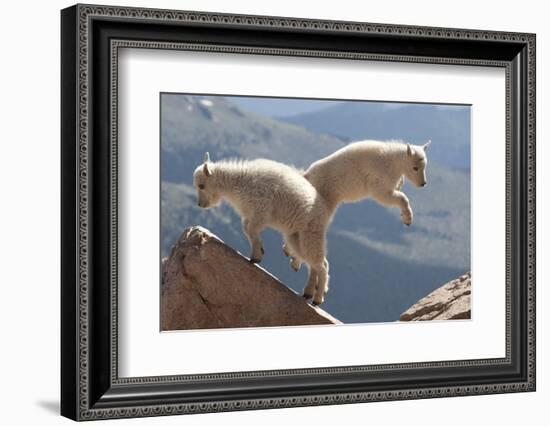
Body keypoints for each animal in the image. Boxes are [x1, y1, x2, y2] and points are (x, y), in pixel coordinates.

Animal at [192, 153, 334, 306]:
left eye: (201, 185)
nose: (200, 204)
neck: (238, 183)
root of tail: (325, 212)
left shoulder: (261, 211)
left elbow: (250, 228)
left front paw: (256, 256)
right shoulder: (250, 215)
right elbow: (247, 229)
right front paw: (259, 251)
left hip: (310, 233)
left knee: (321, 265)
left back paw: (317, 298)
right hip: (295, 236)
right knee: (314, 263)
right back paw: (308, 293)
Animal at [304, 140, 434, 226]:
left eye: (425, 166)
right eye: (415, 168)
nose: (423, 183)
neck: (393, 163)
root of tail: (307, 174)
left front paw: (404, 216)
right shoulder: (379, 184)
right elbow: (396, 197)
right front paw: (408, 219)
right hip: (325, 195)